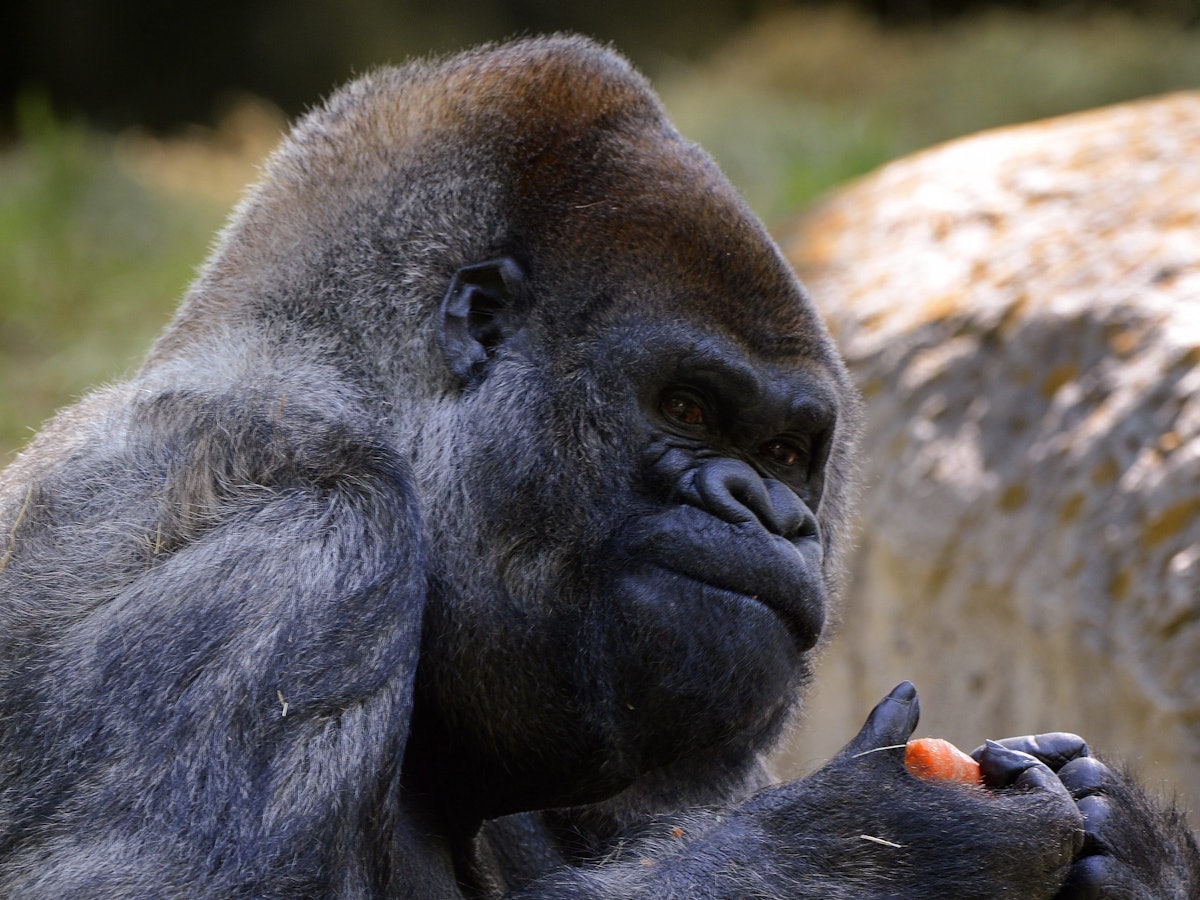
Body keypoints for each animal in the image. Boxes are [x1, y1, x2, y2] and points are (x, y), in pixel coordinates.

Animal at [0, 35, 1196, 898]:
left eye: (786, 453)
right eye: (687, 406)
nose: (770, 512)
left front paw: (1129, 844)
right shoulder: (294, 545)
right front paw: (877, 843)